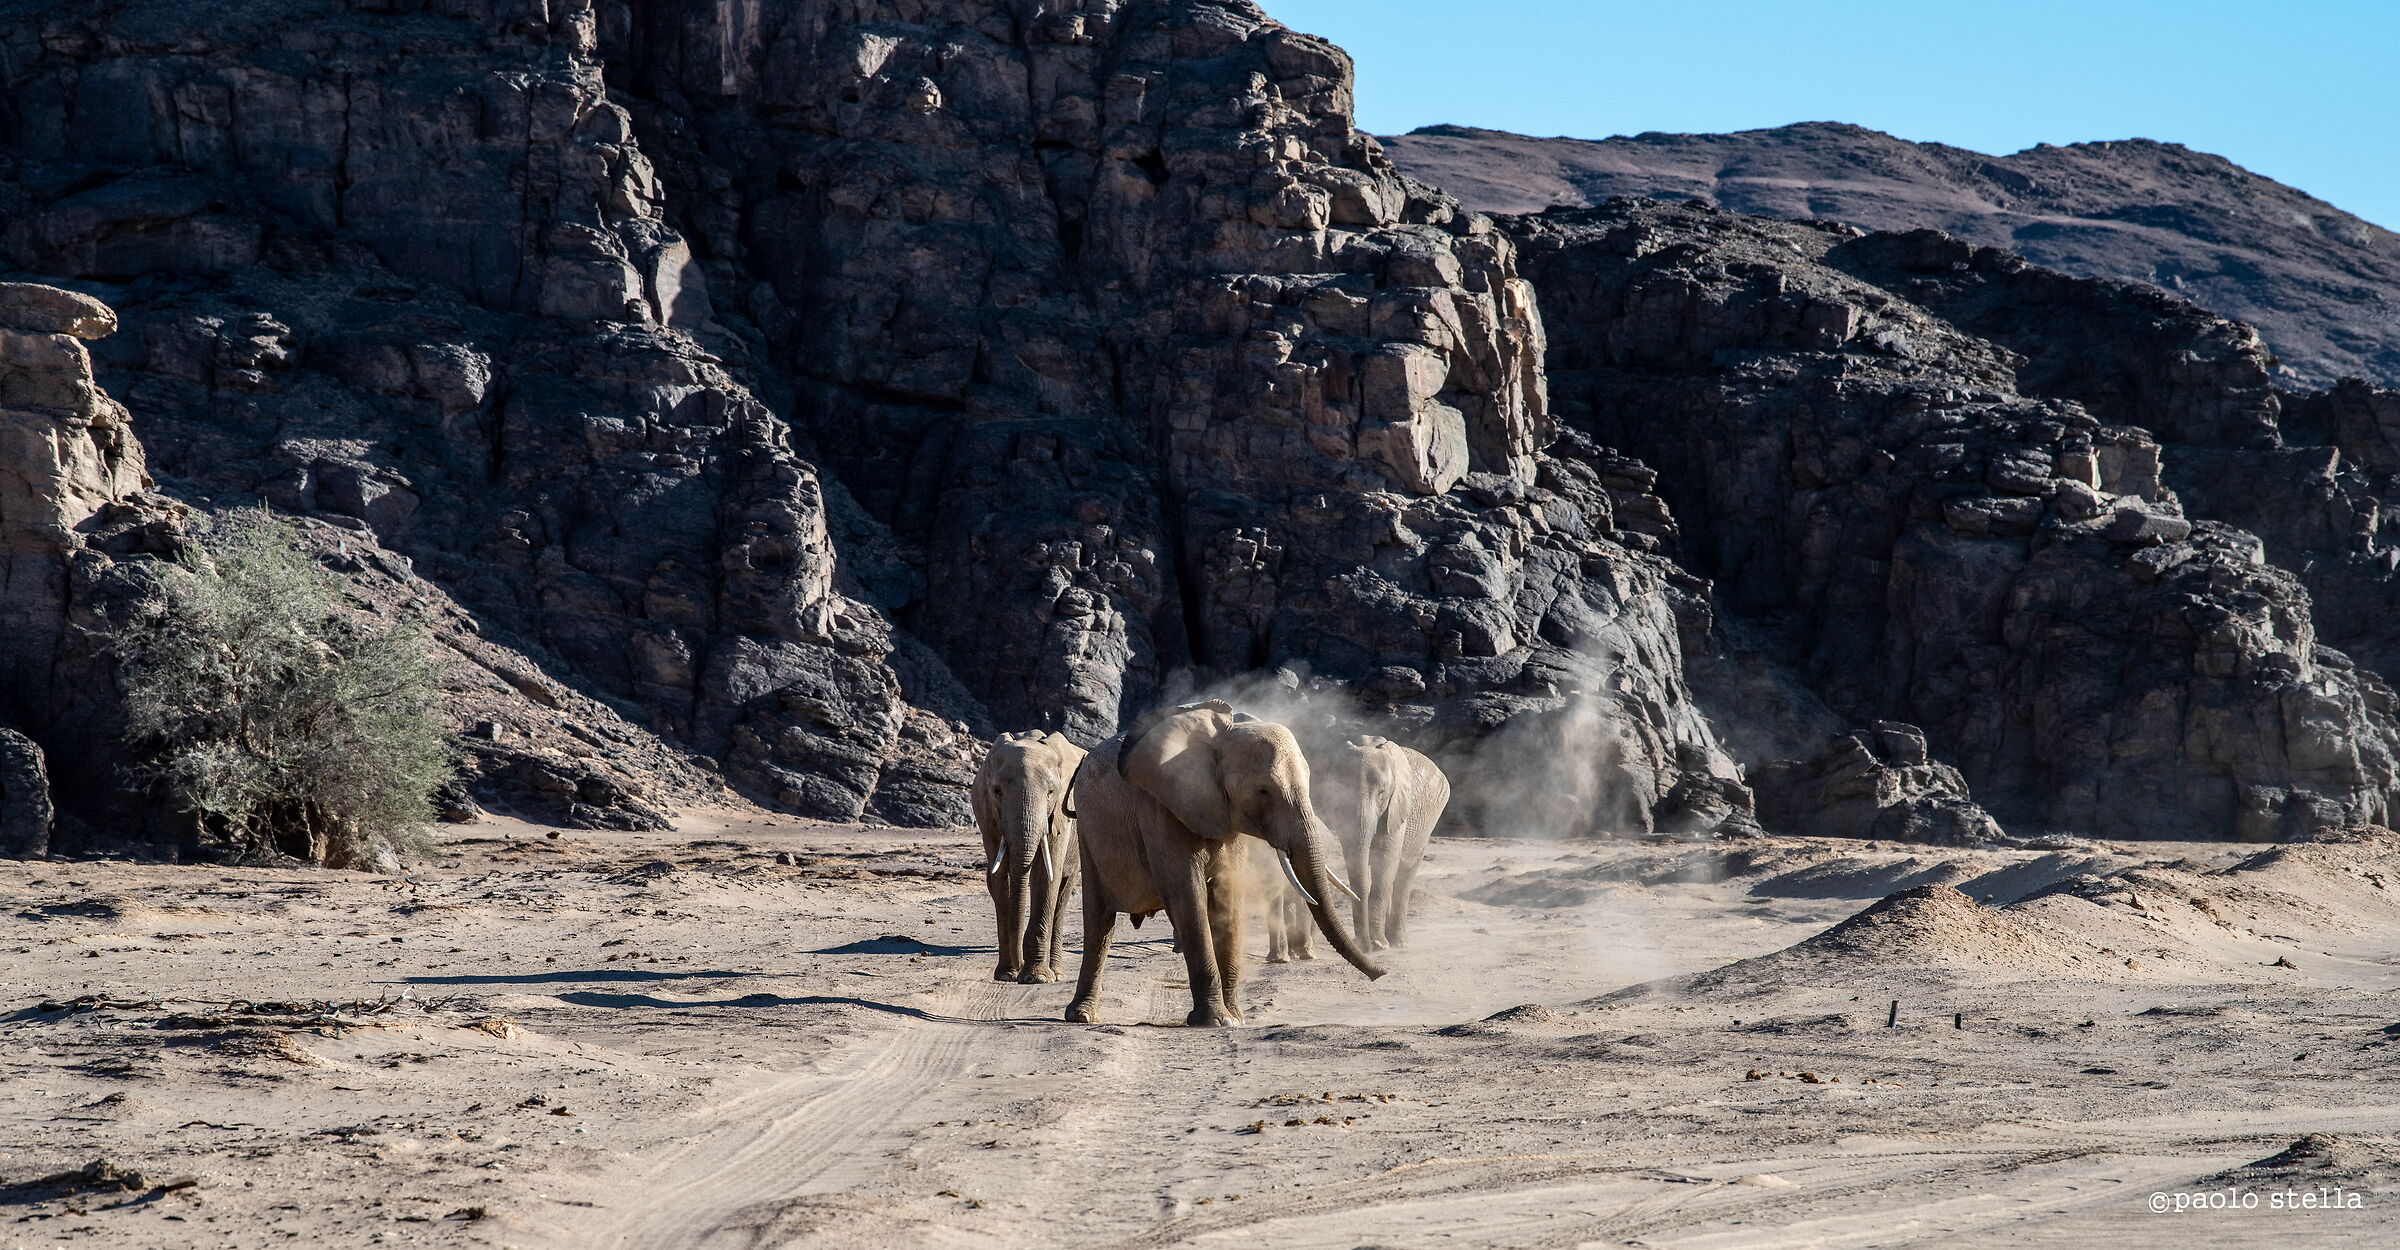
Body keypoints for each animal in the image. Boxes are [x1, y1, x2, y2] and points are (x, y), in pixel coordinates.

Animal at [972, 731, 1086, 984]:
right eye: (997, 791)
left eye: (1051, 792)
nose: (1018, 968)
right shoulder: (988, 815)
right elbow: (1000, 877)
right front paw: (1006, 974)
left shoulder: (1060, 817)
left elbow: (1046, 877)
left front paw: (1037, 978)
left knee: (1063, 893)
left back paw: (1057, 973)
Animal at [1065, 701, 1385, 1026]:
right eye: (1263, 791)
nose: (1380, 973)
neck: (1222, 737)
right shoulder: (1159, 809)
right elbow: (1187, 893)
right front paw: (1216, 1021)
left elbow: (1228, 895)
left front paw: (1236, 1018)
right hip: (1087, 832)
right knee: (1100, 922)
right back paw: (1081, 1015)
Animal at [1315, 736, 1450, 949]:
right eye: (1337, 791)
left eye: (1381, 793)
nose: (1363, 945)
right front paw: (1372, 944)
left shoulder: (1398, 807)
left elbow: (1386, 861)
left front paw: (1379, 944)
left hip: (1429, 822)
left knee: (1404, 876)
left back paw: (1398, 943)